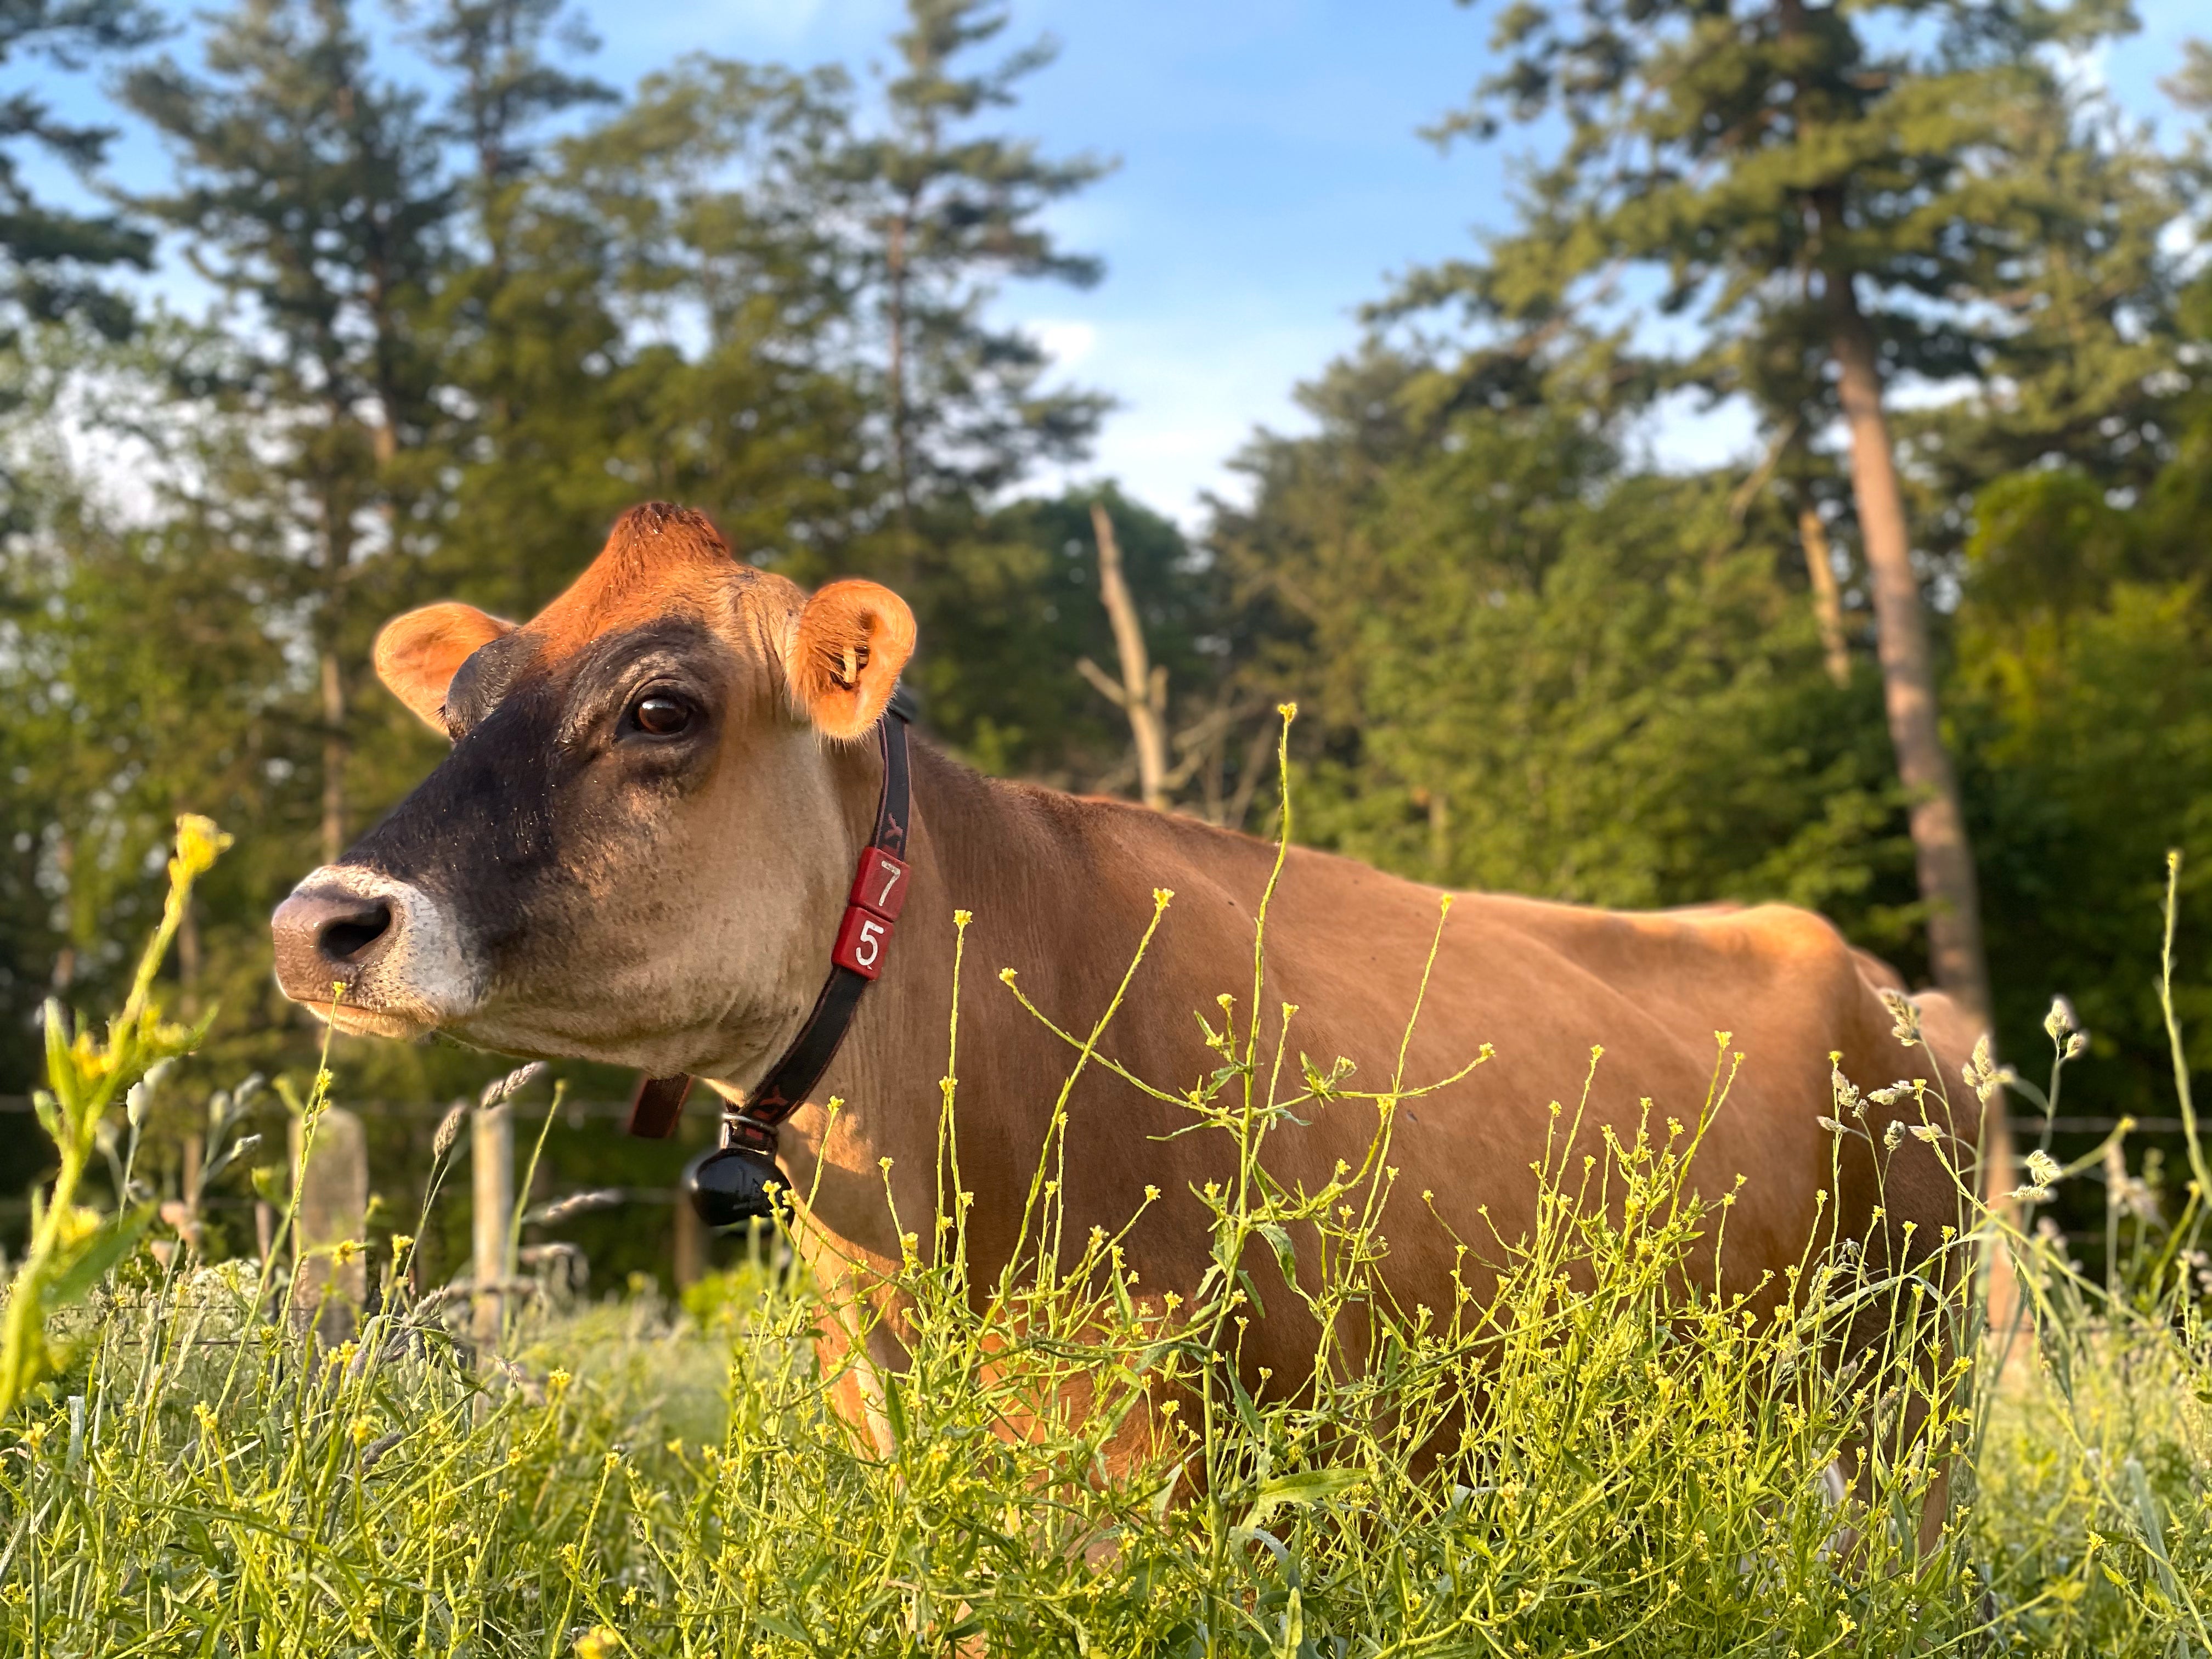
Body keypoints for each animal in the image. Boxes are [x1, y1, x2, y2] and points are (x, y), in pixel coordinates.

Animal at [267, 504, 1999, 1477]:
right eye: (462, 708)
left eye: (661, 707)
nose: (317, 923)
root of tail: (1890, 989)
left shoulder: (1144, 1443)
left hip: (1903, 1401)